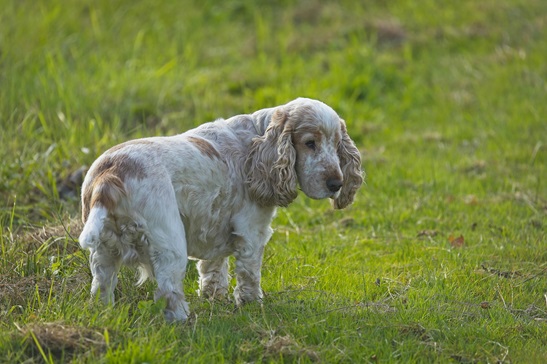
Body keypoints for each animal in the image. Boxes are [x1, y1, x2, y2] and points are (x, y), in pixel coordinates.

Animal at [78, 97, 364, 322]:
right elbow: (249, 274)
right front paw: (253, 305)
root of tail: (110, 176)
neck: (258, 141)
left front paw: (214, 297)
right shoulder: (252, 231)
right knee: (169, 292)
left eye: (337, 144)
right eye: (309, 143)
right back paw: (185, 321)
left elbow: (212, 267)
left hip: (103, 252)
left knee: (101, 286)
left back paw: (104, 313)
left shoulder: (213, 225)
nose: (336, 184)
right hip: (169, 245)